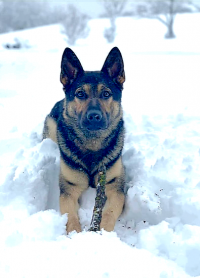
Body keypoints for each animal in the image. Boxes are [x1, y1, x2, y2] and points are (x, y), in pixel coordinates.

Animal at [43, 47, 126, 232]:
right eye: (80, 94)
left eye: (106, 94)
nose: (94, 116)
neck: (92, 146)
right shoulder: (69, 190)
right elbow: (71, 218)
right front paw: (77, 236)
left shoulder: (115, 187)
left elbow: (109, 213)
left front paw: (100, 233)